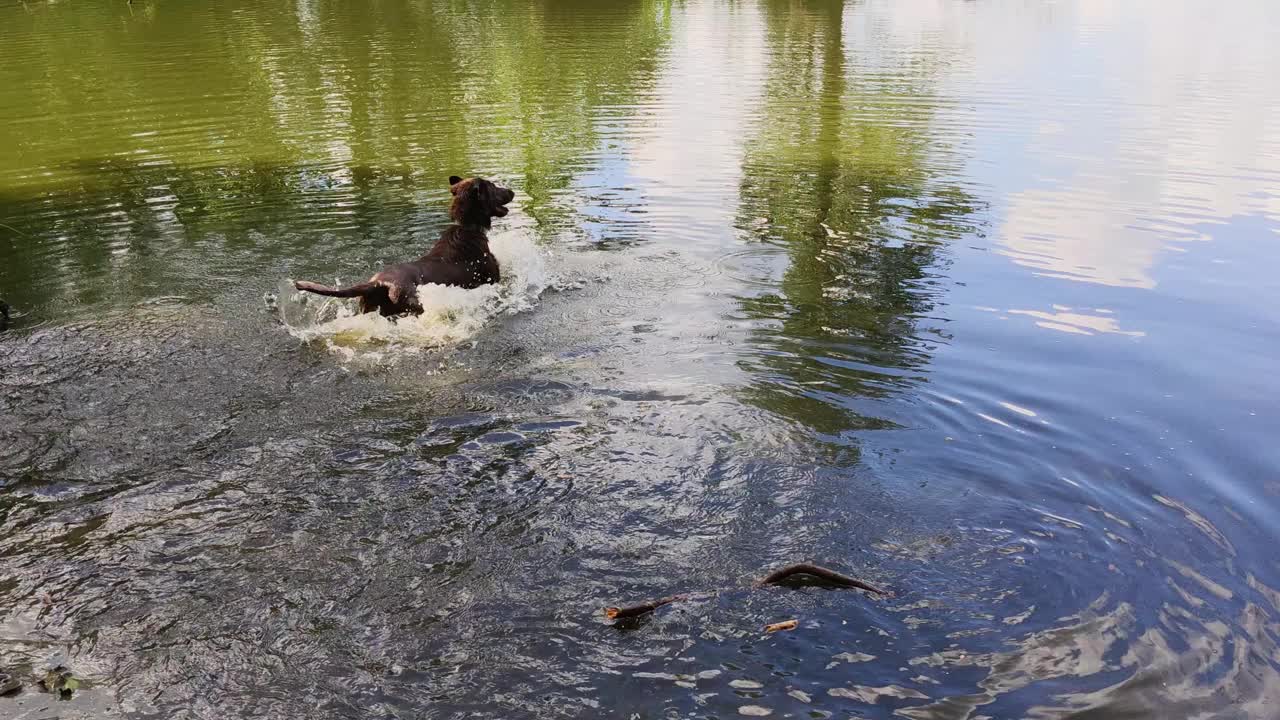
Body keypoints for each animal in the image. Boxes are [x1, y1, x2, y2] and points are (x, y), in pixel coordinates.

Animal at [294, 174, 514, 313]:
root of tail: (378, 283)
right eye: (493, 187)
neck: (468, 226)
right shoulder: (493, 279)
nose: (512, 191)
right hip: (414, 304)